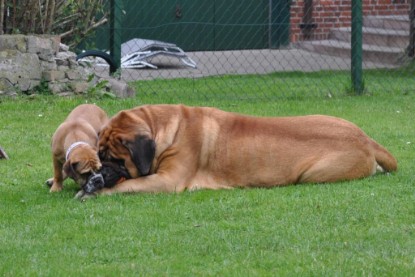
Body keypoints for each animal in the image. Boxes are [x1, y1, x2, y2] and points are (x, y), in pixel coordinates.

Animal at [92, 104, 398, 195]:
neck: (163, 127)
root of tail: (366, 138)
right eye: (98, 155)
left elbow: (128, 185)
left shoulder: (168, 181)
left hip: (314, 174)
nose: (99, 172)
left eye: (115, 160)